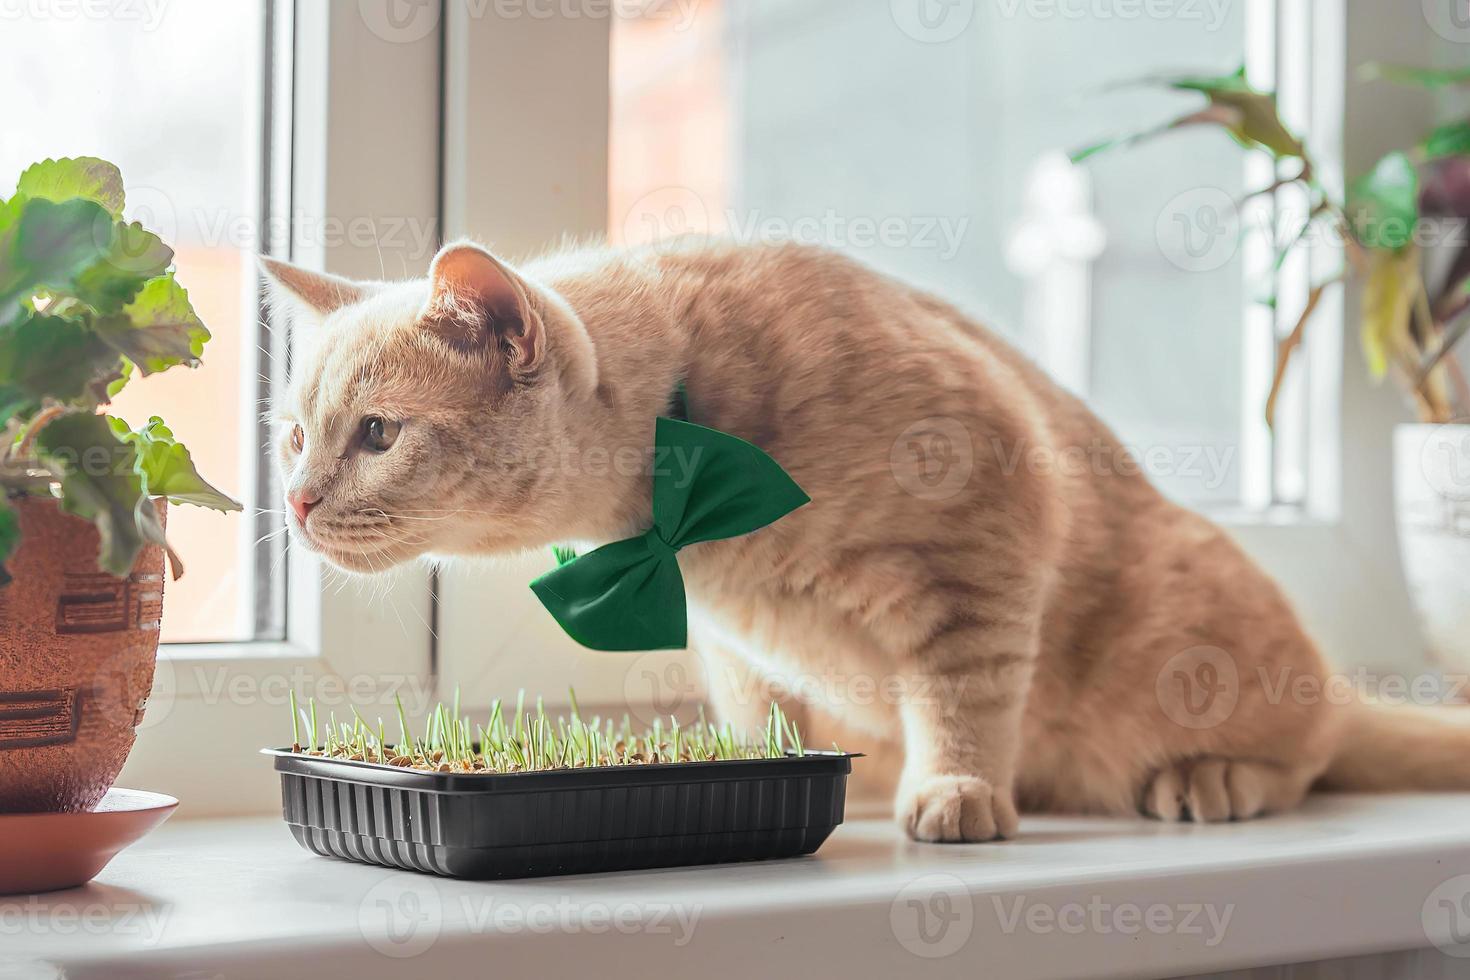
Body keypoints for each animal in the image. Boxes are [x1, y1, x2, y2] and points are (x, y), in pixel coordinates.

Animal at [264, 239, 1470, 846]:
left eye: (377, 434)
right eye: (295, 433)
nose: (297, 502)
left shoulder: (986, 541)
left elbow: (965, 694)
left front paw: (960, 791)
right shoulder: (736, 648)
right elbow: (764, 723)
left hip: (1195, 644)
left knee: (1312, 743)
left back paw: (1213, 776)